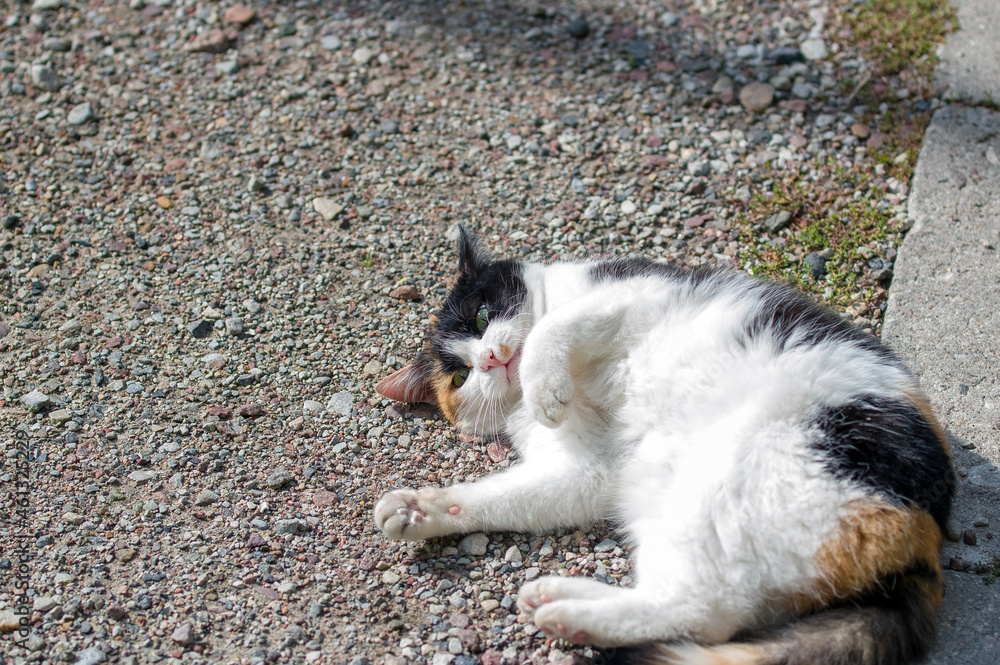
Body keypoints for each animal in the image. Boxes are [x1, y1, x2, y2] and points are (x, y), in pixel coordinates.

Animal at [374, 228, 952, 664]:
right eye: (459, 376)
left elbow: (550, 327)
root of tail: (924, 539)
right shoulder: (586, 471)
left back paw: (569, 612)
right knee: (695, 611)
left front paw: (544, 387)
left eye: (481, 315)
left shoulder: (637, 294)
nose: (491, 358)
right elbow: (502, 496)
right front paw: (418, 509)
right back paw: (563, 600)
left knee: (703, 615)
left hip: (735, 474)